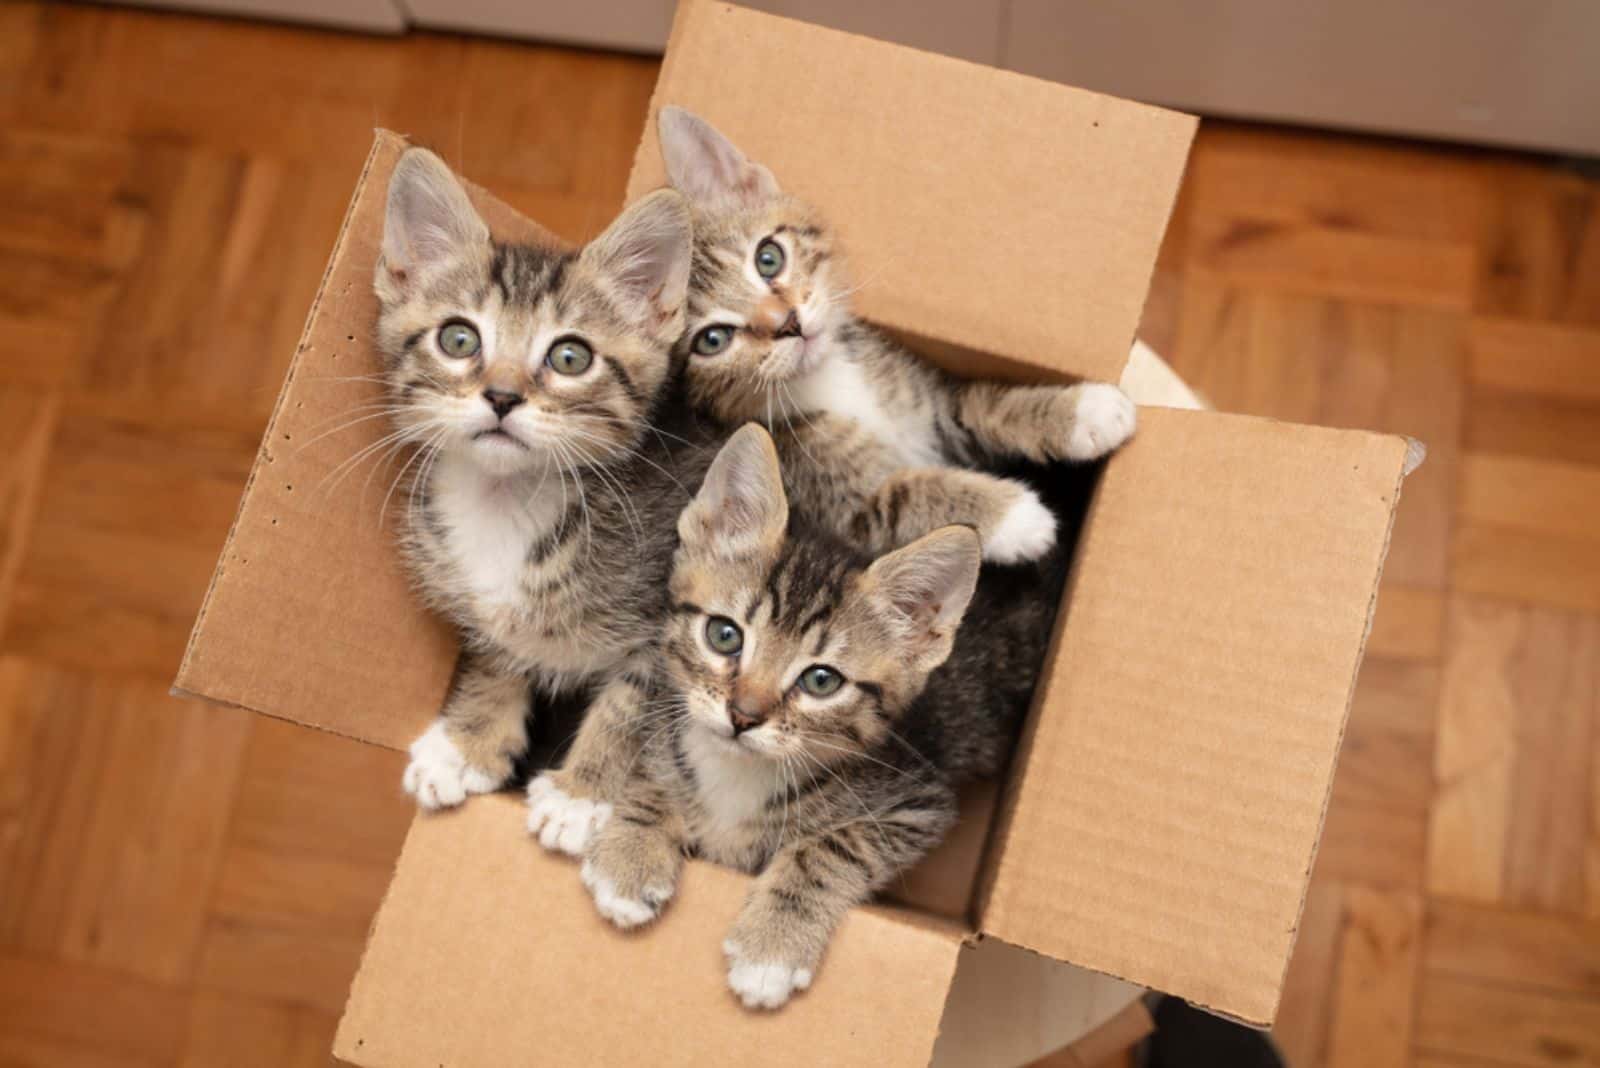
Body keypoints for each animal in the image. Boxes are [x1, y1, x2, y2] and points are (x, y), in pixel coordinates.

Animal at [579, 425, 1062, 1010]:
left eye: (821, 681)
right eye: (724, 634)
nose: (743, 715)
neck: (738, 772)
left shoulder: (918, 804)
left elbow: (832, 845)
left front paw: (772, 946)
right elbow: (655, 767)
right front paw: (631, 853)